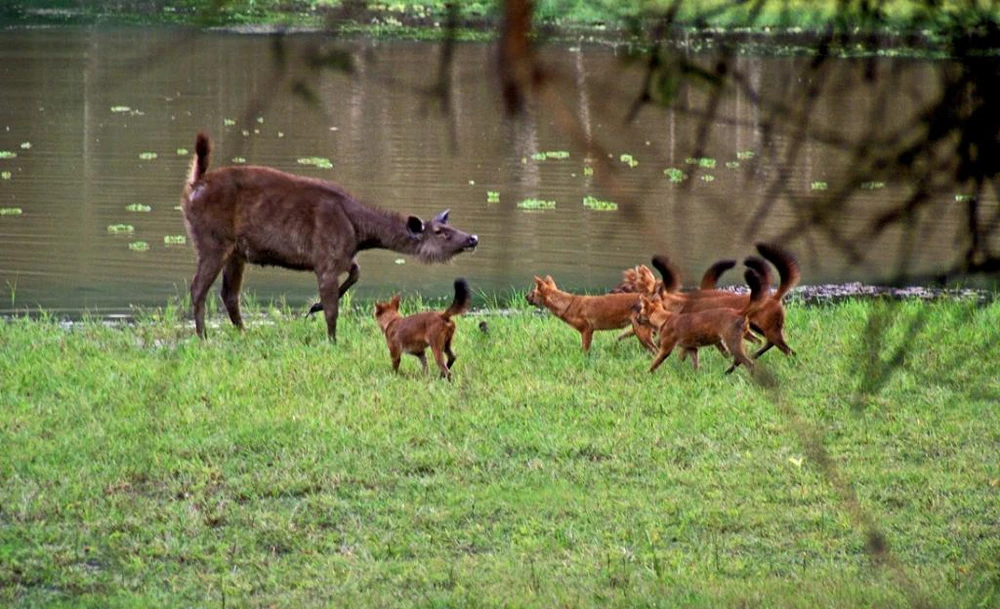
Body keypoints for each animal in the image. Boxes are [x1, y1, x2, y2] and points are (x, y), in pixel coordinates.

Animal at [181, 132, 480, 340]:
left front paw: (313, 307)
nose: (472, 238)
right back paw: (203, 336)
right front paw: (331, 337)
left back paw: (242, 332)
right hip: (212, 240)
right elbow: (333, 307)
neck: (359, 232)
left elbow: (355, 272)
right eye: (441, 232)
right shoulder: (325, 259)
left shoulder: (342, 256)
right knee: (198, 288)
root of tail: (193, 187)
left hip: (236, 251)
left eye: (450, 226)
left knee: (228, 293)